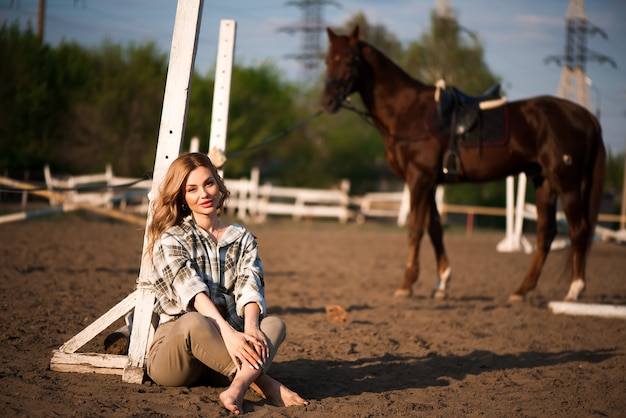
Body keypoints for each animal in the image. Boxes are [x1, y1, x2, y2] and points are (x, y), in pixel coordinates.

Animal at [320, 25, 604, 300]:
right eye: (327, 60)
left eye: (350, 60)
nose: (327, 102)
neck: (408, 111)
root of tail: (585, 115)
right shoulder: (430, 183)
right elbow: (435, 229)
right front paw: (442, 283)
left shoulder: (419, 179)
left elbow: (415, 229)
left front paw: (407, 284)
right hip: (543, 181)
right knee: (546, 234)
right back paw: (522, 290)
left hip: (567, 184)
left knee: (579, 231)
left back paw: (574, 290)